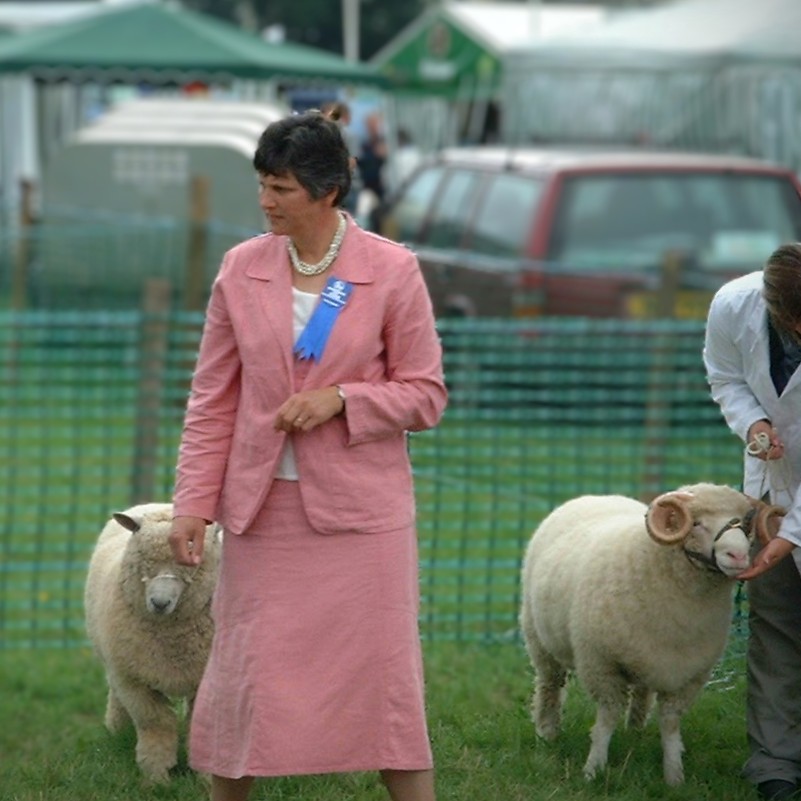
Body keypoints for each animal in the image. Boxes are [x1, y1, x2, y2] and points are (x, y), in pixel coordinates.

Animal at [84, 500, 220, 780]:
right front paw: (157, 776)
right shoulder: (132, 679)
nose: (159, 602)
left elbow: (199, 723)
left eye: (193, 564)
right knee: (116, 695)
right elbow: (156, 723)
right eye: (144, 560)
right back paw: (117, 730)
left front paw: (204, 777)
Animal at [516, 484, 780, 784]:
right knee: (549, 685)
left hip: (648, 658)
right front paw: (593, 769)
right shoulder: (601, 665)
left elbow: (670, 723)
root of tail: (596, 496)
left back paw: (635, 732)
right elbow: (607, 718)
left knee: (642, 693)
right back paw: (547, 733)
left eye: (746, 525)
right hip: (539, 640)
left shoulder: (689, 675)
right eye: (697, 523)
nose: (738, 557)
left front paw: (674, 776)